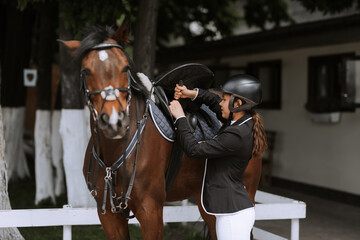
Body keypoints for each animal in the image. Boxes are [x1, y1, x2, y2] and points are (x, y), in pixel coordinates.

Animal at [62, 20, 262, 240]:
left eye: (125, 68)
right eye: (86, 71)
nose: (114, 121)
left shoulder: (151, 210)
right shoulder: (109, 215)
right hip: (207, 203)